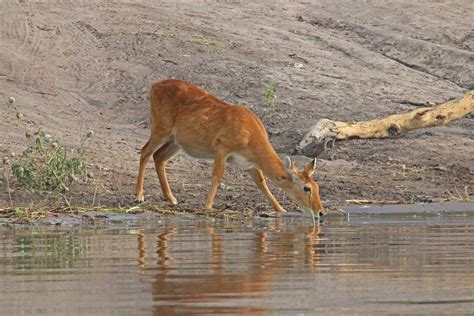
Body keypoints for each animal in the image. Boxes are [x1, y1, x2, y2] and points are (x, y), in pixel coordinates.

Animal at [135, 78, 324, 220]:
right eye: (306, 188)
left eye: (317, 186)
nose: (320, 212)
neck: (250, 136)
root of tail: (154, 86)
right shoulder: (222, 149)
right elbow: (217, 176)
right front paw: (208, 206)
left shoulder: (248, 163)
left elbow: (261, 182)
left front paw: (280, 209)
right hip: (160, 128)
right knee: (145, 151)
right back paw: (139, 195)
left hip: (175, 141)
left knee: (158, 156)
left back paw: (172, 198)